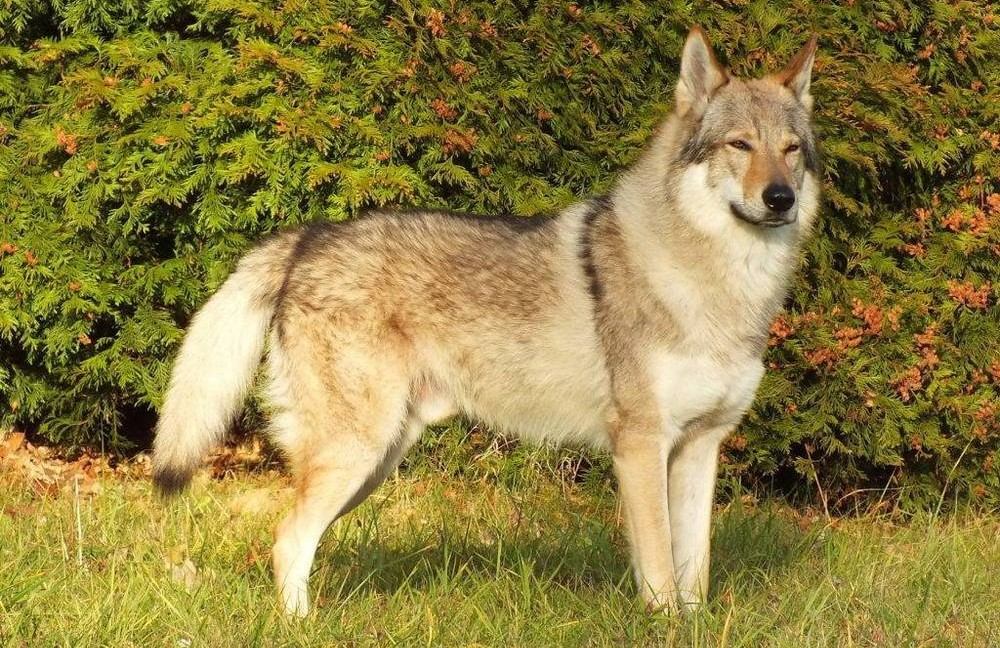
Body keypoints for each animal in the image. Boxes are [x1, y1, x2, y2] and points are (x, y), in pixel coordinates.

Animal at [152, 27, 820, 616]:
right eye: (739, 145)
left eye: (791, 151)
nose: (780, 199)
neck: (720, 286)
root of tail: (308, 238)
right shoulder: (640, 446)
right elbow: (658, 572)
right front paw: (663, 626)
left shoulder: (700, 448)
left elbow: (694, 575)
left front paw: (692, 623)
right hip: (357, 453)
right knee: (288, 538)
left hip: (376, 461)